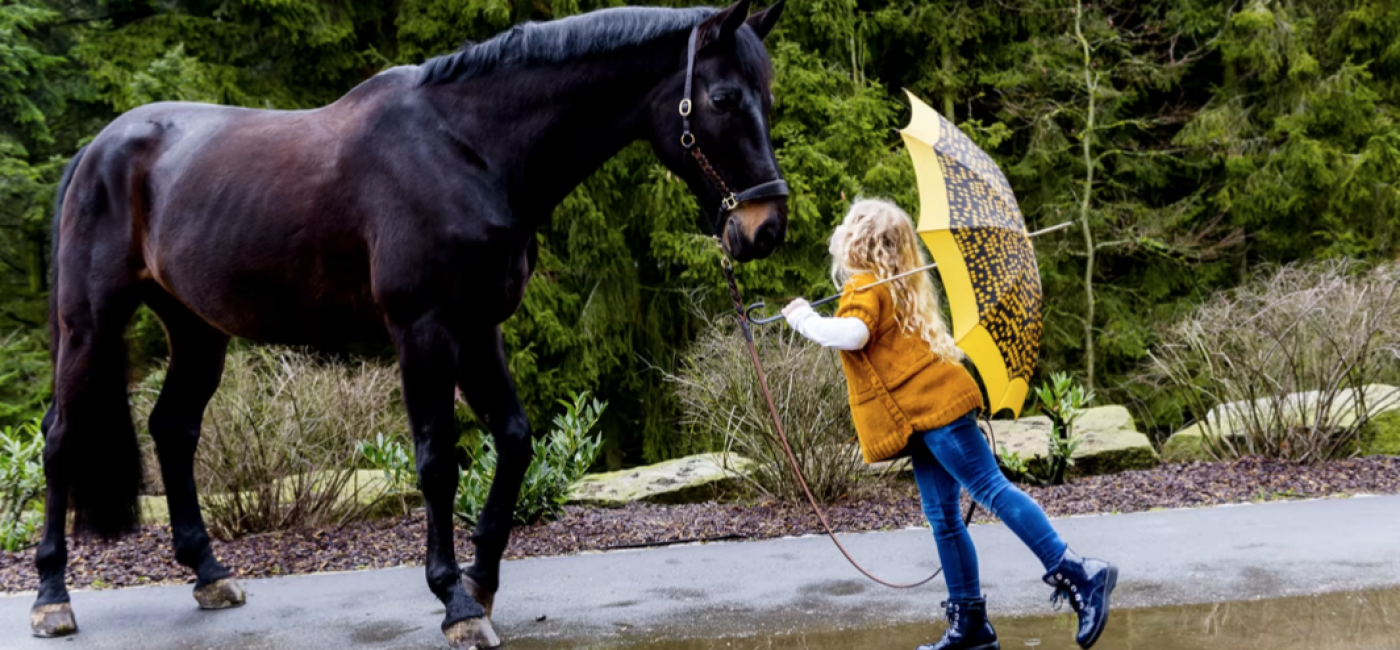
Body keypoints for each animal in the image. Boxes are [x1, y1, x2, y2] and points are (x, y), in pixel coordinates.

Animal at [35, 2, 789, 647]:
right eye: (723, 100)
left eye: (768, 98)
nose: (765, 227)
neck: (466, 149)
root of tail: (97, 151)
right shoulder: (423, 331)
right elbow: (436, 463)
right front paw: (455, 603)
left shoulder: (479, 328)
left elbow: (514, 442)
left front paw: (481, 582)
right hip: (89, 325)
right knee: (62, 438)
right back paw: (52, 597)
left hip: (196, 330)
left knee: (173, 429)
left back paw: (210, 575)